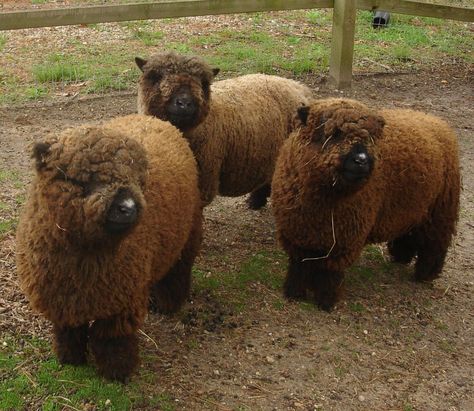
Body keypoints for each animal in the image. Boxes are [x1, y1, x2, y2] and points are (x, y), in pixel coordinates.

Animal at [16, 113, 202, 384]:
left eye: (138, 179)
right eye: (85, 178)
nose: (129, 207)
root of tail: (154, 119)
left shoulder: (121, 300)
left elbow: (112, 339)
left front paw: (116, 372)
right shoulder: (61, 298)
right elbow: (69, 329)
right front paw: (70, 358)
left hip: (187, 235)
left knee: (177, 271)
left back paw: (168, 304)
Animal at [270, 99, 460, 312]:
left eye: (371, 137)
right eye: (334, 133)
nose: (361, 160)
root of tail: (432, 118)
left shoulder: (343, 240)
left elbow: (329, 274)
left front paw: (326, 302)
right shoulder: (297, 233)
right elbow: (299, 266)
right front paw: (294, 293)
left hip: (442, 209)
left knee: (435, 245)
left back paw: (425, 275)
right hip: (412, 206)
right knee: (409, 231)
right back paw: (401, 256)